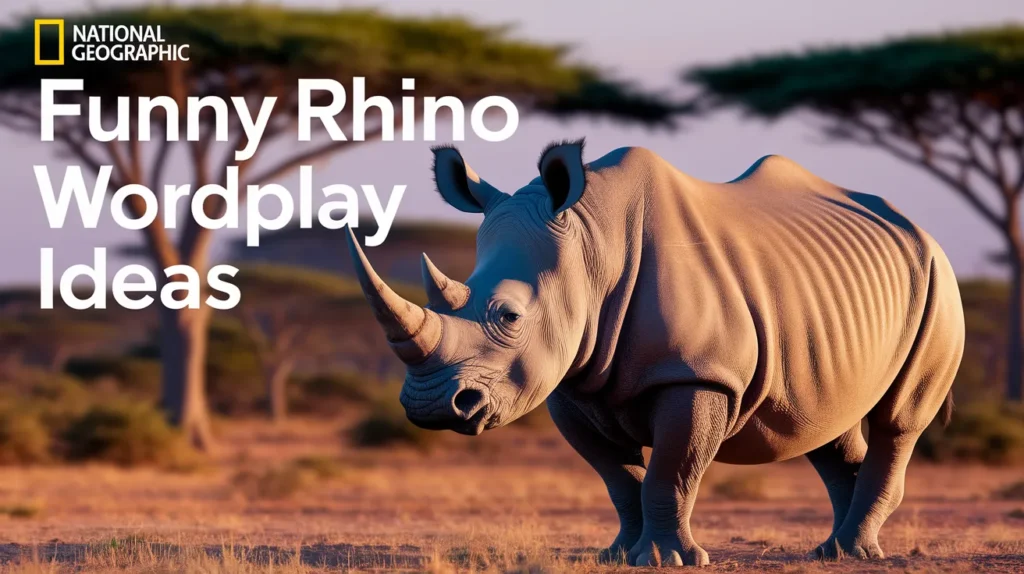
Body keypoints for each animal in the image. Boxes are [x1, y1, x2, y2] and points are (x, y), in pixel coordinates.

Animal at [345, 142, 964, 566]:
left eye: (509, 317)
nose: (430, 407)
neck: (591, 243)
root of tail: (919, 229)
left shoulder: (696, 374)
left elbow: (672, 466)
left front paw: (668, 560)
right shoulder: (571, 379)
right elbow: (617, 475)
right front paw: (618, 555)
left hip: (938, 280)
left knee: (898, 419)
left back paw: (854, 551)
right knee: (822, 422)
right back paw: (832, 551)